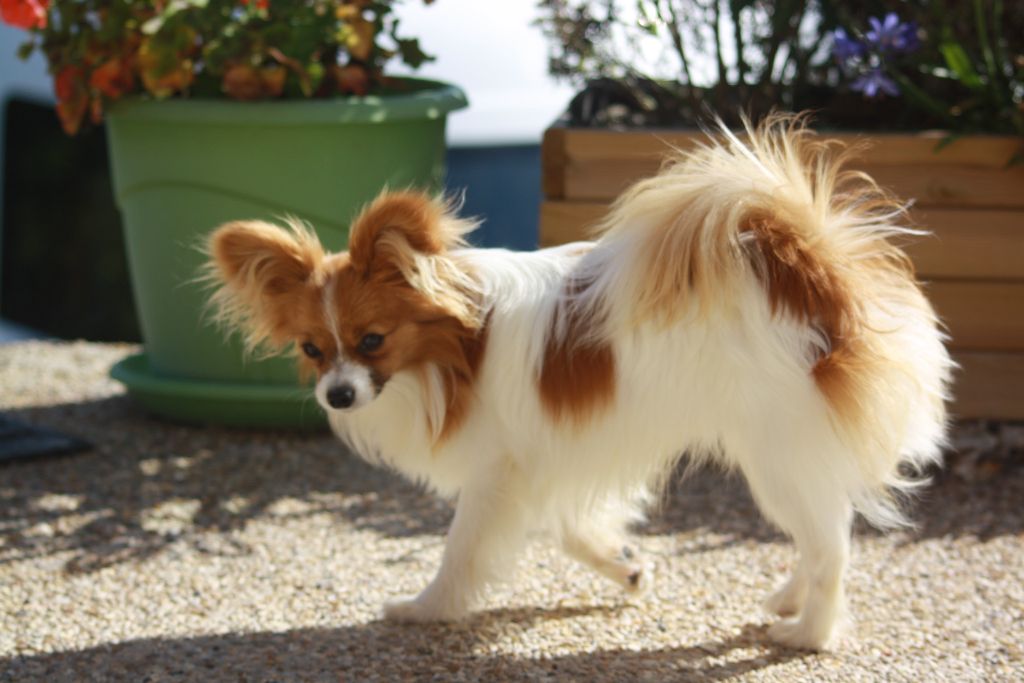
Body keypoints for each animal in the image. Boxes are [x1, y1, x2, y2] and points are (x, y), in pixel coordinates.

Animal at [201, 114, 950, 651]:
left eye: (371, 341)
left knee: (832, 543)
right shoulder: (549, 457)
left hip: (778, 453)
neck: (458, 350)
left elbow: (461, 549)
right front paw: (625, 566)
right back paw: (789, 600)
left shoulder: (498, 471)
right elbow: (571, 531)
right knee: (821, 533)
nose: (338, 394)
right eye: (312, 349)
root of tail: (819, 280)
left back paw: (809, 634)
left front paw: (426, 609)